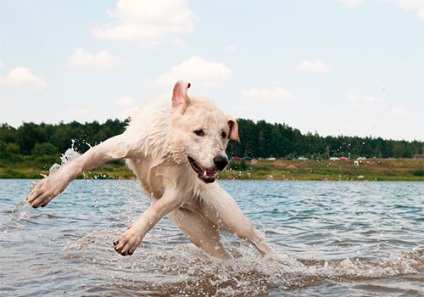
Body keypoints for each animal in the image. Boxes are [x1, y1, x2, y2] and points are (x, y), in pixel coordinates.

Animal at [28, 81, 272, 260]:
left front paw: (131, 237)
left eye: (223, 134)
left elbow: (154, 211)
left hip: (229, 217)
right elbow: (79, 163)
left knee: (258, 240)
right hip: (200, 234)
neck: (166, 147)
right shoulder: (115, 146)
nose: (221, 161)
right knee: (224, 256)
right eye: (199, 132)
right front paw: (47, 189)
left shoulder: (177, 191)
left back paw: (275, 261)